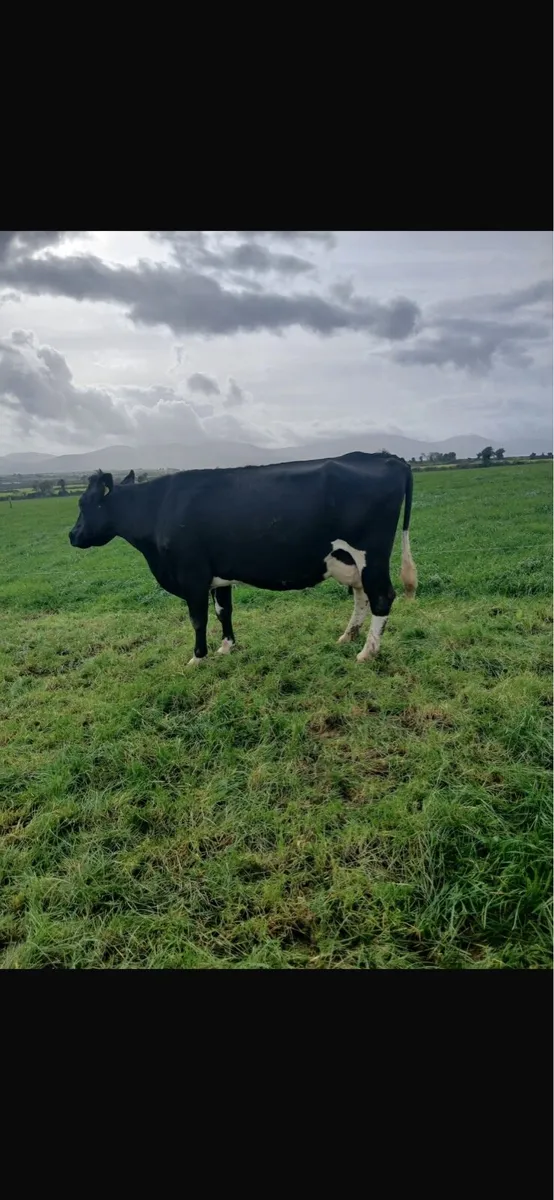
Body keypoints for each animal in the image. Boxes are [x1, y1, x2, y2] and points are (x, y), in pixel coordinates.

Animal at [68, 451, 417, 667]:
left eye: (84, 504)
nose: (72, 535)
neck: (158, 508)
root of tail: (386, 457)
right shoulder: (218, 573)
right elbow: (224, 610)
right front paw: (227, 647)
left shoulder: (191, 575)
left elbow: (198, 618)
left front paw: (198, 657)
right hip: (349, 561)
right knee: (361, 595)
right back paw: (348, 636)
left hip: (371, 554)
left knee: (382, 597)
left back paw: (367, 652)